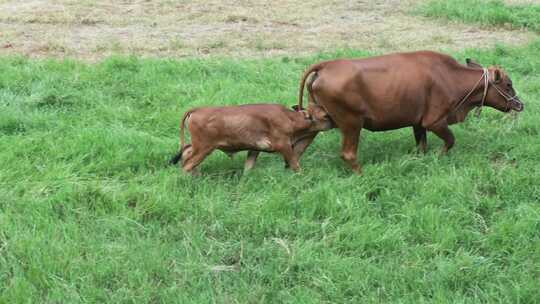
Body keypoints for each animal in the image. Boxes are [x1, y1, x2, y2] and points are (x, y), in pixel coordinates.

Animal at [300, 51, 524, 172]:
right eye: (508, 85)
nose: (520, 104)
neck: (450, 77)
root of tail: (326, 66)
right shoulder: (434, 121)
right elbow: (450, 140)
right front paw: (439, 158)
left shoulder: (418, 122)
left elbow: (421, 146)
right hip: (351, 123)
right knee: (348, 154)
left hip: (316, 122)